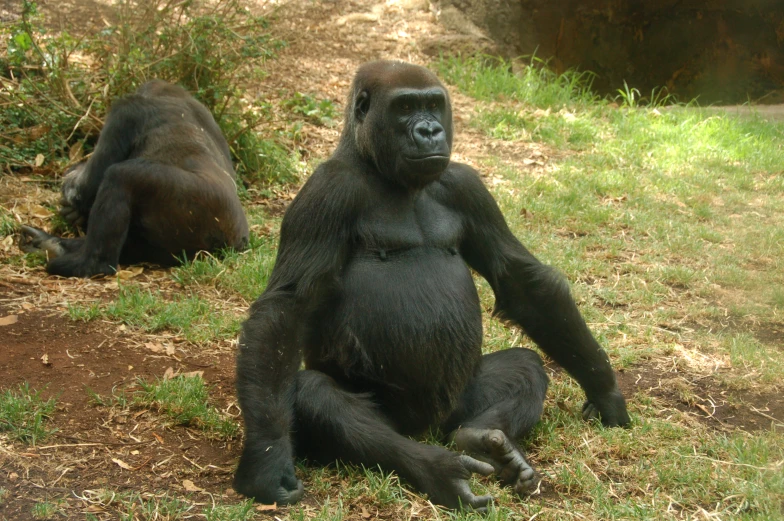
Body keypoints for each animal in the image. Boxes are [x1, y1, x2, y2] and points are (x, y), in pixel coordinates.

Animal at [19, 78, 248, 276]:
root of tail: (238, 242)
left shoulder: (125, 111)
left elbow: (87, 185)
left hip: (200, 207)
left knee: (121, 176)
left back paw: (91, 265)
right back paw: (51, 245)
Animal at [233, 60, 632, 508]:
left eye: (433, 105)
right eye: (406, 107)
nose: (429, 130)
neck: (381, 170)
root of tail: (429, 429)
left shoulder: (467, 186)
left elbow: (520, 282)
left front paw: (605, 390)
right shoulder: (326, 191)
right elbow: (287, 307)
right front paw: (267, 461)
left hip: (460, 404)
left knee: (523, 366)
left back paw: (482, 440)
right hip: (396, 420)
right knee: (317, 394)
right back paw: (436, 470)